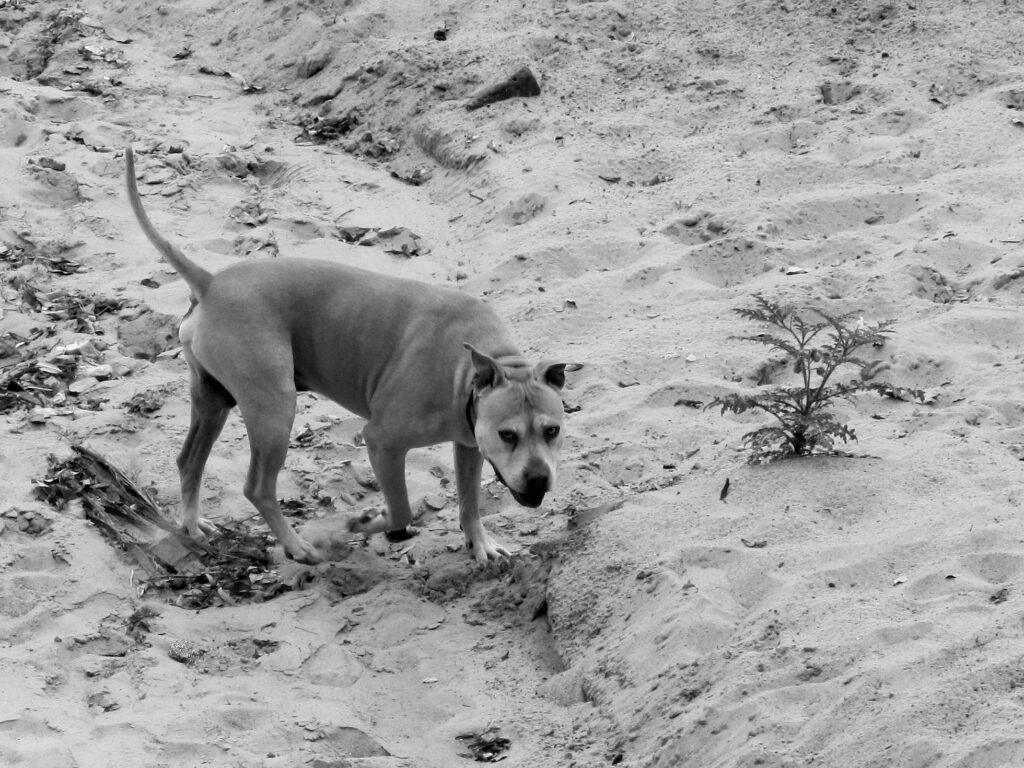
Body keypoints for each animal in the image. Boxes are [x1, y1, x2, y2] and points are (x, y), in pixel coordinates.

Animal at [123, 147, 581, 565]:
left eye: (552, 431)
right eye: (508, 435)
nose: (538, 479)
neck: (470, 367)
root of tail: (212, 282)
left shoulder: (468, 445)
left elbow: (469, 502)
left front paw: (480, 543)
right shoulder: (382, 442)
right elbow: (401, 508)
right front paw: (365, 523)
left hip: (213, 401)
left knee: (189, 462)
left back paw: (193, 525)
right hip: (275, 409)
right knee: (258, 486)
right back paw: (297, 546)